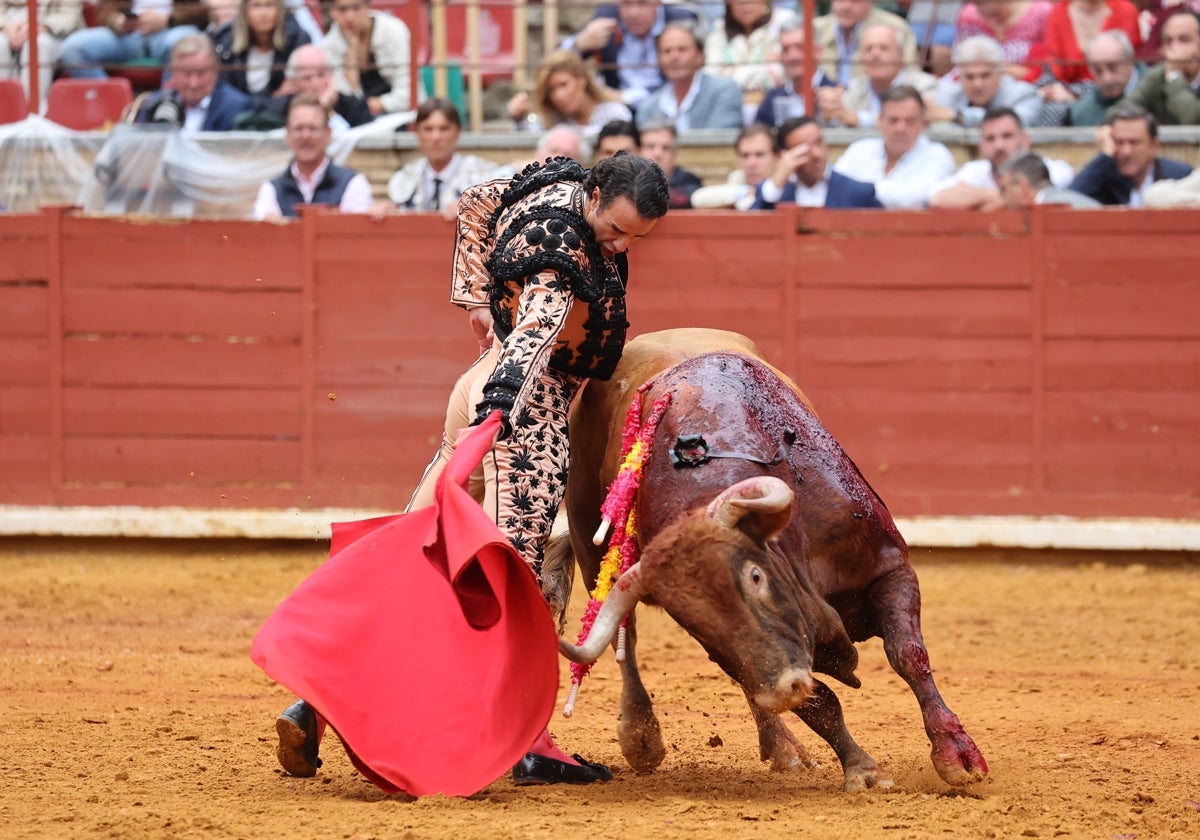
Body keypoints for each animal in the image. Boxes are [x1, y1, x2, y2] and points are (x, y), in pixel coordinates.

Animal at [549, 328, 988, 792]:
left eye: (755, 576)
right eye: (689, 617)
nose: (779, 690)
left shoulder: (890, 567)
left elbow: (908, 655)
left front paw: (957, 754)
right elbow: (818, 701)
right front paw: (863, 770)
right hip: (593, 548)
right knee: (630, 642)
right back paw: (646, 738)